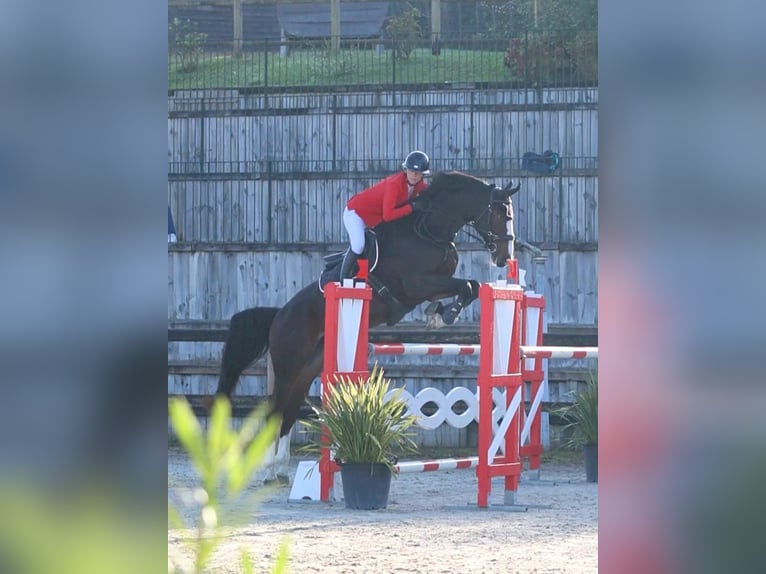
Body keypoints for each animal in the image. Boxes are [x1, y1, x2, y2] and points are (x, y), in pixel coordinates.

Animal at [214, 171, 520, 481]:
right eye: (500, 213)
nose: (504, 258)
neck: (430, 232)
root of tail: (279, 315)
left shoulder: (432, 286)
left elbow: (470, 286)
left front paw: (441, 313)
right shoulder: (417, 284)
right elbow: (467, 285)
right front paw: (444, 315)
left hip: (308, 367)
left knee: (290, 407)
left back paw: (280, 469)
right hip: (289, 364)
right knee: (275, 408)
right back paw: (266, 470)